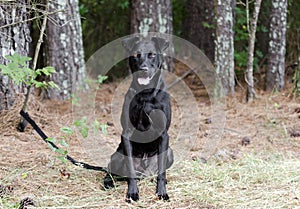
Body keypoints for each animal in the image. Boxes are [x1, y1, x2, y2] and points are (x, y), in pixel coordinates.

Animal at [104, 36, 173, 202]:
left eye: (152, 54)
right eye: (136, 55)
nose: (143, 69)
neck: (146, 94)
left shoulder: (163, 134)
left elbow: (162, 171)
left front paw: (162, 192)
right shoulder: (127, 134)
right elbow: (130, 168)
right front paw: (132, 192)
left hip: (170, 152)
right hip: (117, 155)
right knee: (109, 171)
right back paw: (108, 182)